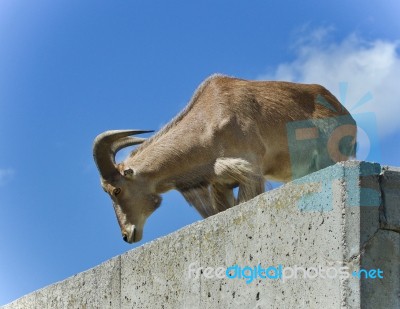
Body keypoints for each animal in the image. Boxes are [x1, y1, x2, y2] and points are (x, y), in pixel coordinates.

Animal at [94, 73, 356, 242]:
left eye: (116, 190)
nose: (127, 235)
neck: (208, 121)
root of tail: (344, 111)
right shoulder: (220, 187)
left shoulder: (251, 170)